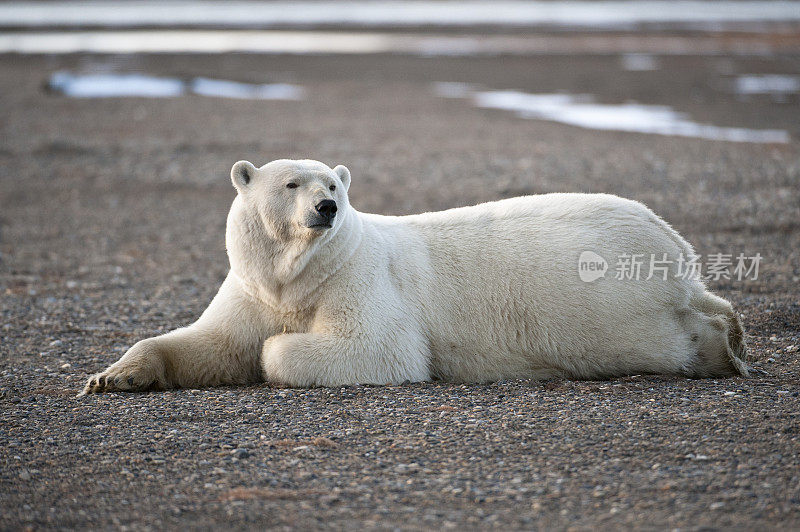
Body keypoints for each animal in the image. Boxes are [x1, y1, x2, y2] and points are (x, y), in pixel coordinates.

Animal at [81, 159, 752, 394]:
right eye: (292, 183)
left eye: (333, 185)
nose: (326, 207)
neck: (298, 275)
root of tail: (673, 239)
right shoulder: (252, 288)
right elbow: (211, 343)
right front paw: (113, 376)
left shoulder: (358, 277)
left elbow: (378, 347)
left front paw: (280, 348)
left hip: (606, 300)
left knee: (659, 333)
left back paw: (721, 347)